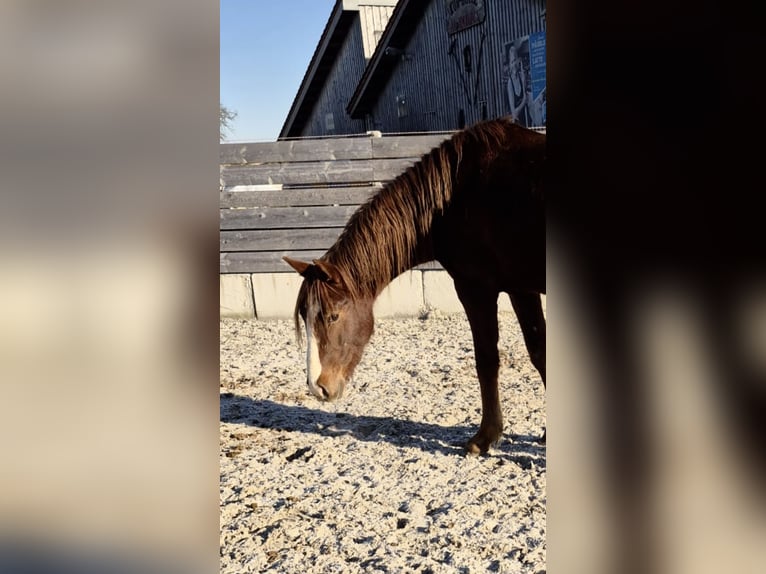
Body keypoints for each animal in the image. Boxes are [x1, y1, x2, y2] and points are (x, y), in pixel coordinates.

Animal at [284, 119, 544, 456]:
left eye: (332, 317)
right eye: (305, 318)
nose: (318, 387)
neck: (456, 196)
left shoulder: (476, 288)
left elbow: (487, 360)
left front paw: (485, 437)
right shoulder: (521, 288)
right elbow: (540, 352)